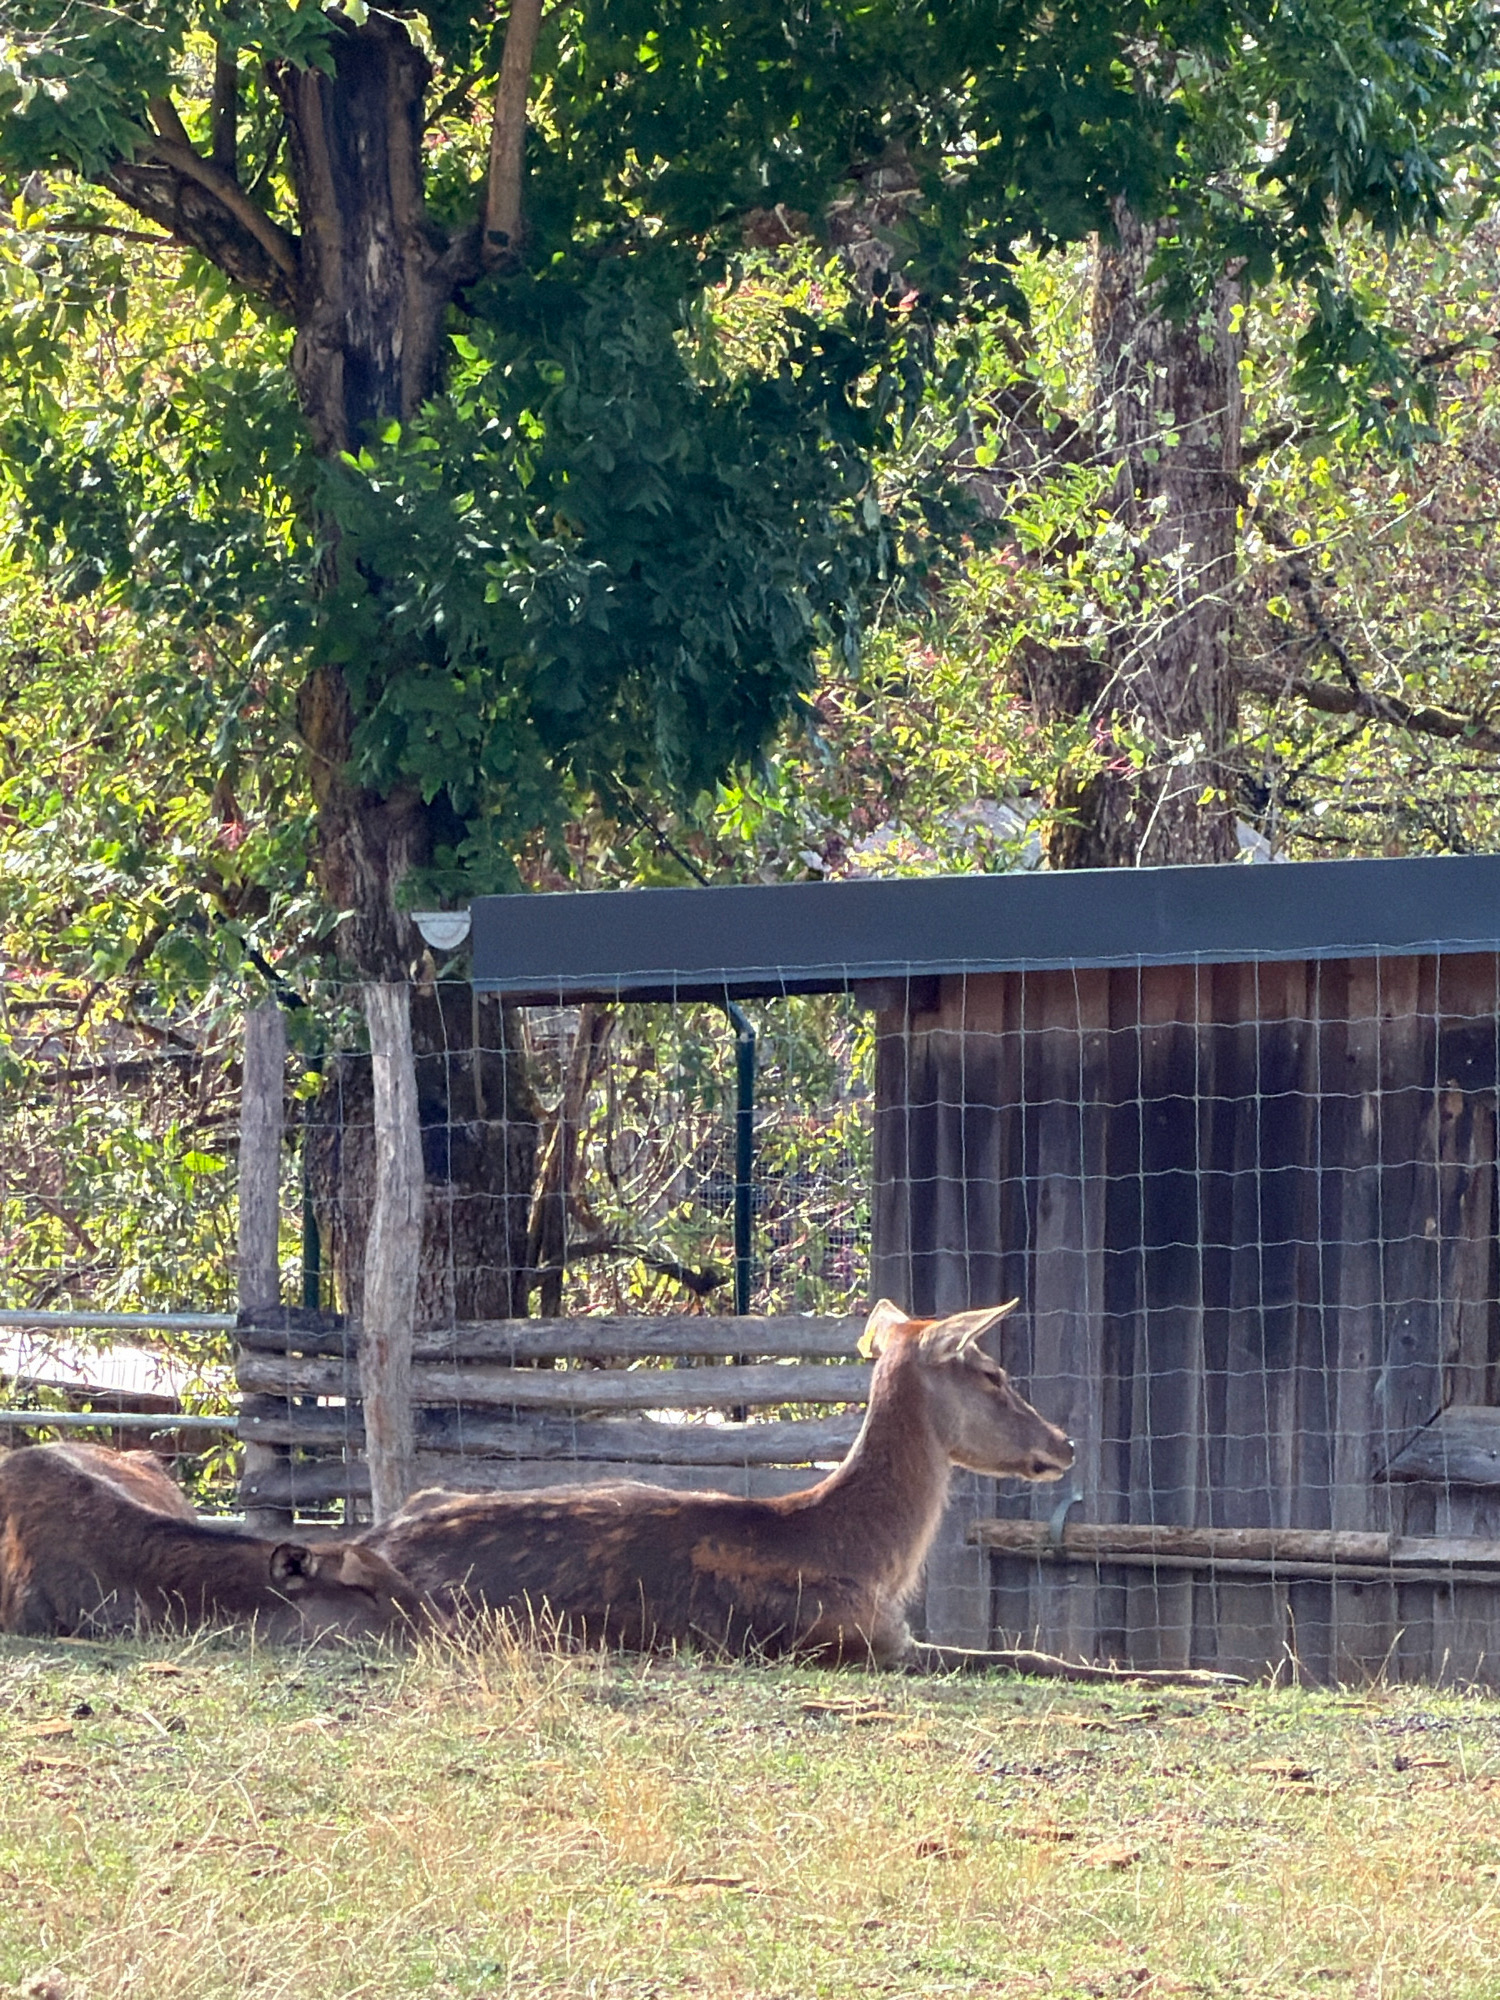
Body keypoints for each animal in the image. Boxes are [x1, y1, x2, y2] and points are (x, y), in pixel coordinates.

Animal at [360, 1298, 1073, 1665]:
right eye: (993, 1374)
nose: (1064, 1442)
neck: (873, 1563)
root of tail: (373, 1544)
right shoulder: (858, 1638)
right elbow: (1037, 1658)